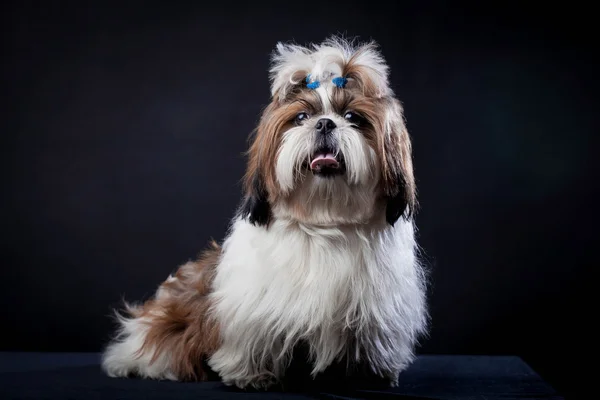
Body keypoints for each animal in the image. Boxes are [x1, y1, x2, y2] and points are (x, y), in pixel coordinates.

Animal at [102, 36, 426, 390]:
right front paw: (251, 374)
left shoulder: (375, 308)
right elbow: (255, 337)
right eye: (301, 117)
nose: (325, 123)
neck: (325, 220)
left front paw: (370, 373)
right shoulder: (252, 307)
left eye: (353, 117)